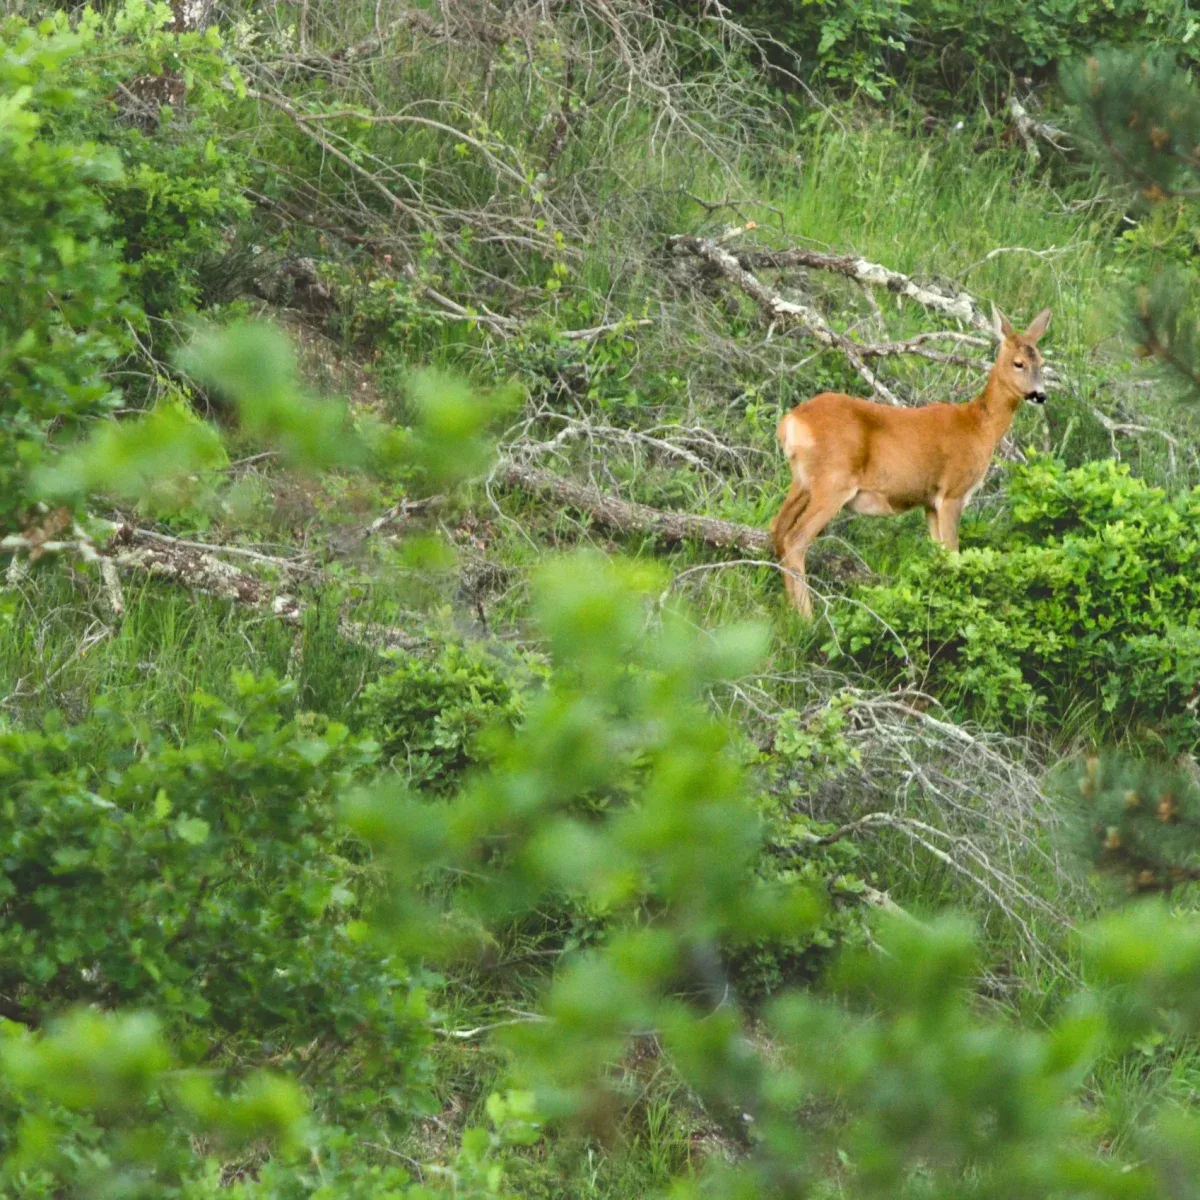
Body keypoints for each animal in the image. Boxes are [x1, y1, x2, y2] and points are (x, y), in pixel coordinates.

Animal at [770, 306, 1051, 618]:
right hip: (832, 482)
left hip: (802, 481)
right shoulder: (953, 493)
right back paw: (807, 617)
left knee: (777, 530)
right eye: (1018, 363)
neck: (980, 426)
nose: (1040, 395)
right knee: (795, 539)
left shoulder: (929, 502)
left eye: (1042, 362)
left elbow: (939, 556)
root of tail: (790, 421)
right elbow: (954, 554)